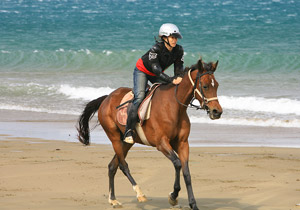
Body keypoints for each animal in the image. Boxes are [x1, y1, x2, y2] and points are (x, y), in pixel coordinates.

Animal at [77, 57, 223, 210]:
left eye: (217, 85)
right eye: (205, 86)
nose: (217, 112)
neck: (174, 107)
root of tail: (106, 98)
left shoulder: (182, 143)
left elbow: (186, 172)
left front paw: (193, 203)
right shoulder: (161, 144)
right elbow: (177, 164)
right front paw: (173, 196)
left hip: (127, 141)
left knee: (112, 166)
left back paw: (113, 199)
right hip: (115, 138)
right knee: (123, 165)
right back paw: (139, 193)